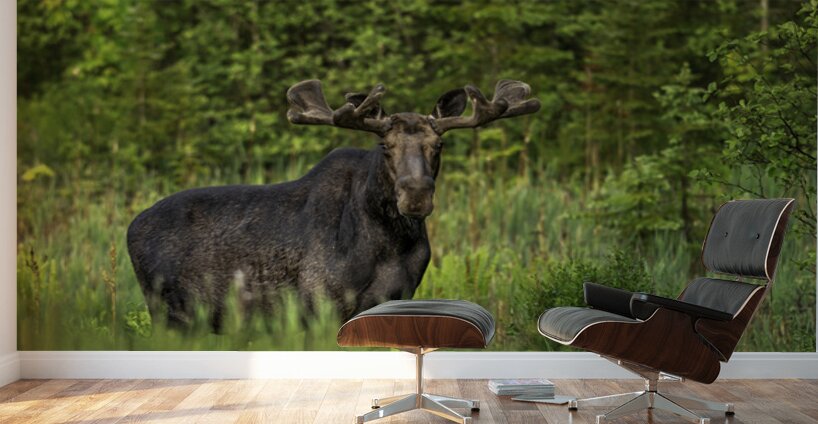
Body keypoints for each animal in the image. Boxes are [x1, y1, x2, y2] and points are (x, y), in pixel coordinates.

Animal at [126, 79, 540, 332]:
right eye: (385, 146)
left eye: (438, 145)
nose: (417, 195)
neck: (390, 246)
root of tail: (130, 227)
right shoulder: (318, 303)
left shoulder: (399, 295)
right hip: (169, 311)